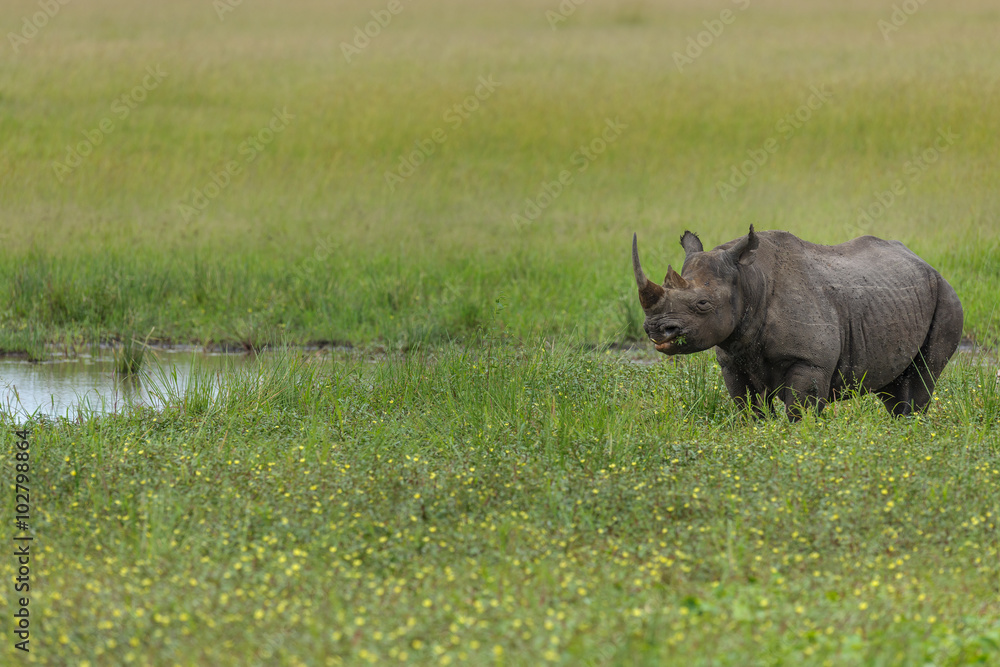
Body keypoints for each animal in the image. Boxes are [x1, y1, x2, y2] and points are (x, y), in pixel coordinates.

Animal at [632, 226, 963, 419]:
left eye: (703, 304)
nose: (656, 329)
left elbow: (798, 413)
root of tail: (926, 264)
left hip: (947, 296)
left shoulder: (810, 362)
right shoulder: (733, 359)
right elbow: (749, 411)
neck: (749, 281)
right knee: (893, 386)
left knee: (923, 376)